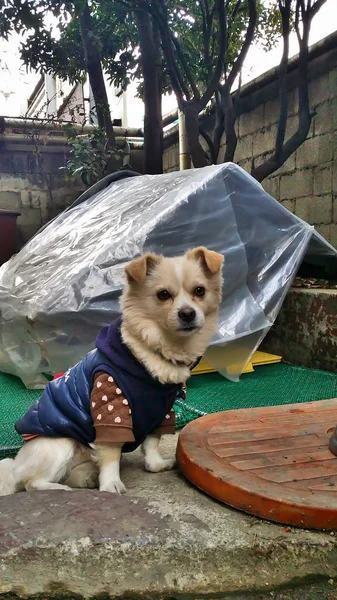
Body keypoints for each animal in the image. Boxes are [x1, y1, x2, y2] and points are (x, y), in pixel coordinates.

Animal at [0, 246, 223, 494]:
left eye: (200, 291)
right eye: (163, 294)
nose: (188, 313)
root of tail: (16, 464)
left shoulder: (162, 412)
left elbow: (152, 444)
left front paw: (155, 465)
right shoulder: (109, 408)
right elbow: (111, 455)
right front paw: (110, 484)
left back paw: (84, 480)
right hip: (60, 443)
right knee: (32, 483)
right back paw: (61, 489)